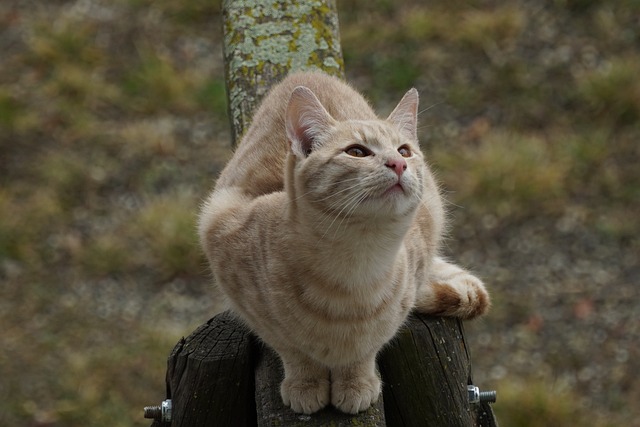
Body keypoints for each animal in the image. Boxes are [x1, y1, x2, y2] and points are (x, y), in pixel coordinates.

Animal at [200, 72, 490, 416]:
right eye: (357, 152)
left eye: (404, 150)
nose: (398, 164)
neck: (356, 262)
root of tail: (304, 72)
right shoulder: (231, 257)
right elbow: (293, 350)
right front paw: (305, 384)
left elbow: (366, 349)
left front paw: (356, 383)